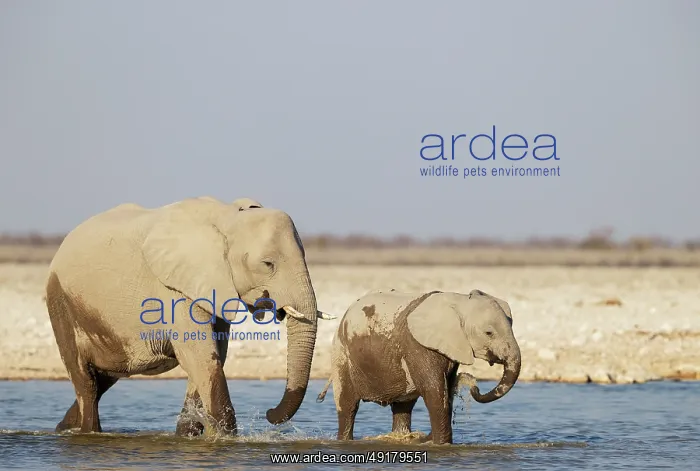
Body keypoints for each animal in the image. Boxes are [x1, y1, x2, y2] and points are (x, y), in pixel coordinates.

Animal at [45, 196, 336, 436]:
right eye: (268, 264)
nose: (268, 413)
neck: (228, 217)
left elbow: (214, 354)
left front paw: (188, 434)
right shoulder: (174, 288)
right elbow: (199, 355)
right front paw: (224, 437)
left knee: (105, 378)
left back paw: (63, 429)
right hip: (60, 299)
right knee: (85, 381)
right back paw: (87, 432)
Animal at [316, 288, 521, 445]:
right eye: (489, 333)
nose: (473, 385)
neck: (459, 301)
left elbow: (447, 390)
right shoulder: (418, 345)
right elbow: (435, 392)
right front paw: (441, 444)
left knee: (403, 407)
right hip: (341, 353)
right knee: (347, 406)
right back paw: (344, 440)